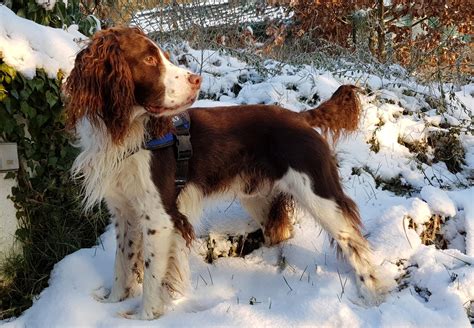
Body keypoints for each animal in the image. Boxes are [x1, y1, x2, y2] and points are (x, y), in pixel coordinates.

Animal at [65, 26, 386, 320]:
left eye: (162, 56)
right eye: (148, 59)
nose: (197, 80)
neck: (128, 133)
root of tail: (300, 117)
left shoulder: (160, 218)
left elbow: (152, 278)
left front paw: (146, 318)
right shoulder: (125, 211)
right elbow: (122, 264)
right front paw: (111, 305)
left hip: (320, 196)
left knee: (353, 243)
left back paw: (371, 298)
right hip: (257, 196)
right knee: (281, 231)